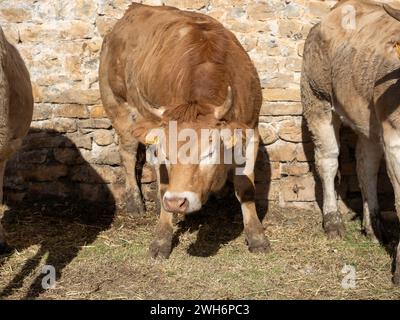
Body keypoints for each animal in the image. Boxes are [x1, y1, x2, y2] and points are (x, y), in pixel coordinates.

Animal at [98, 1, 270, 258]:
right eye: (168, 156)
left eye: (209, 153)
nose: (176, 202)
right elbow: (163, 184)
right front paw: (161, 239)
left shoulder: (250, 130)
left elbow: (245, 186)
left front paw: (257, 237)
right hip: (116, 103)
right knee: (127, 151)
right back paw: (135, 202)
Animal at [302, 0, 400, 284]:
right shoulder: (395, 140)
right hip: (317, 98)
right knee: (328, 160)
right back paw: (333, 221)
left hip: (368, 121)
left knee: (365, 166)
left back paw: (374, 227)